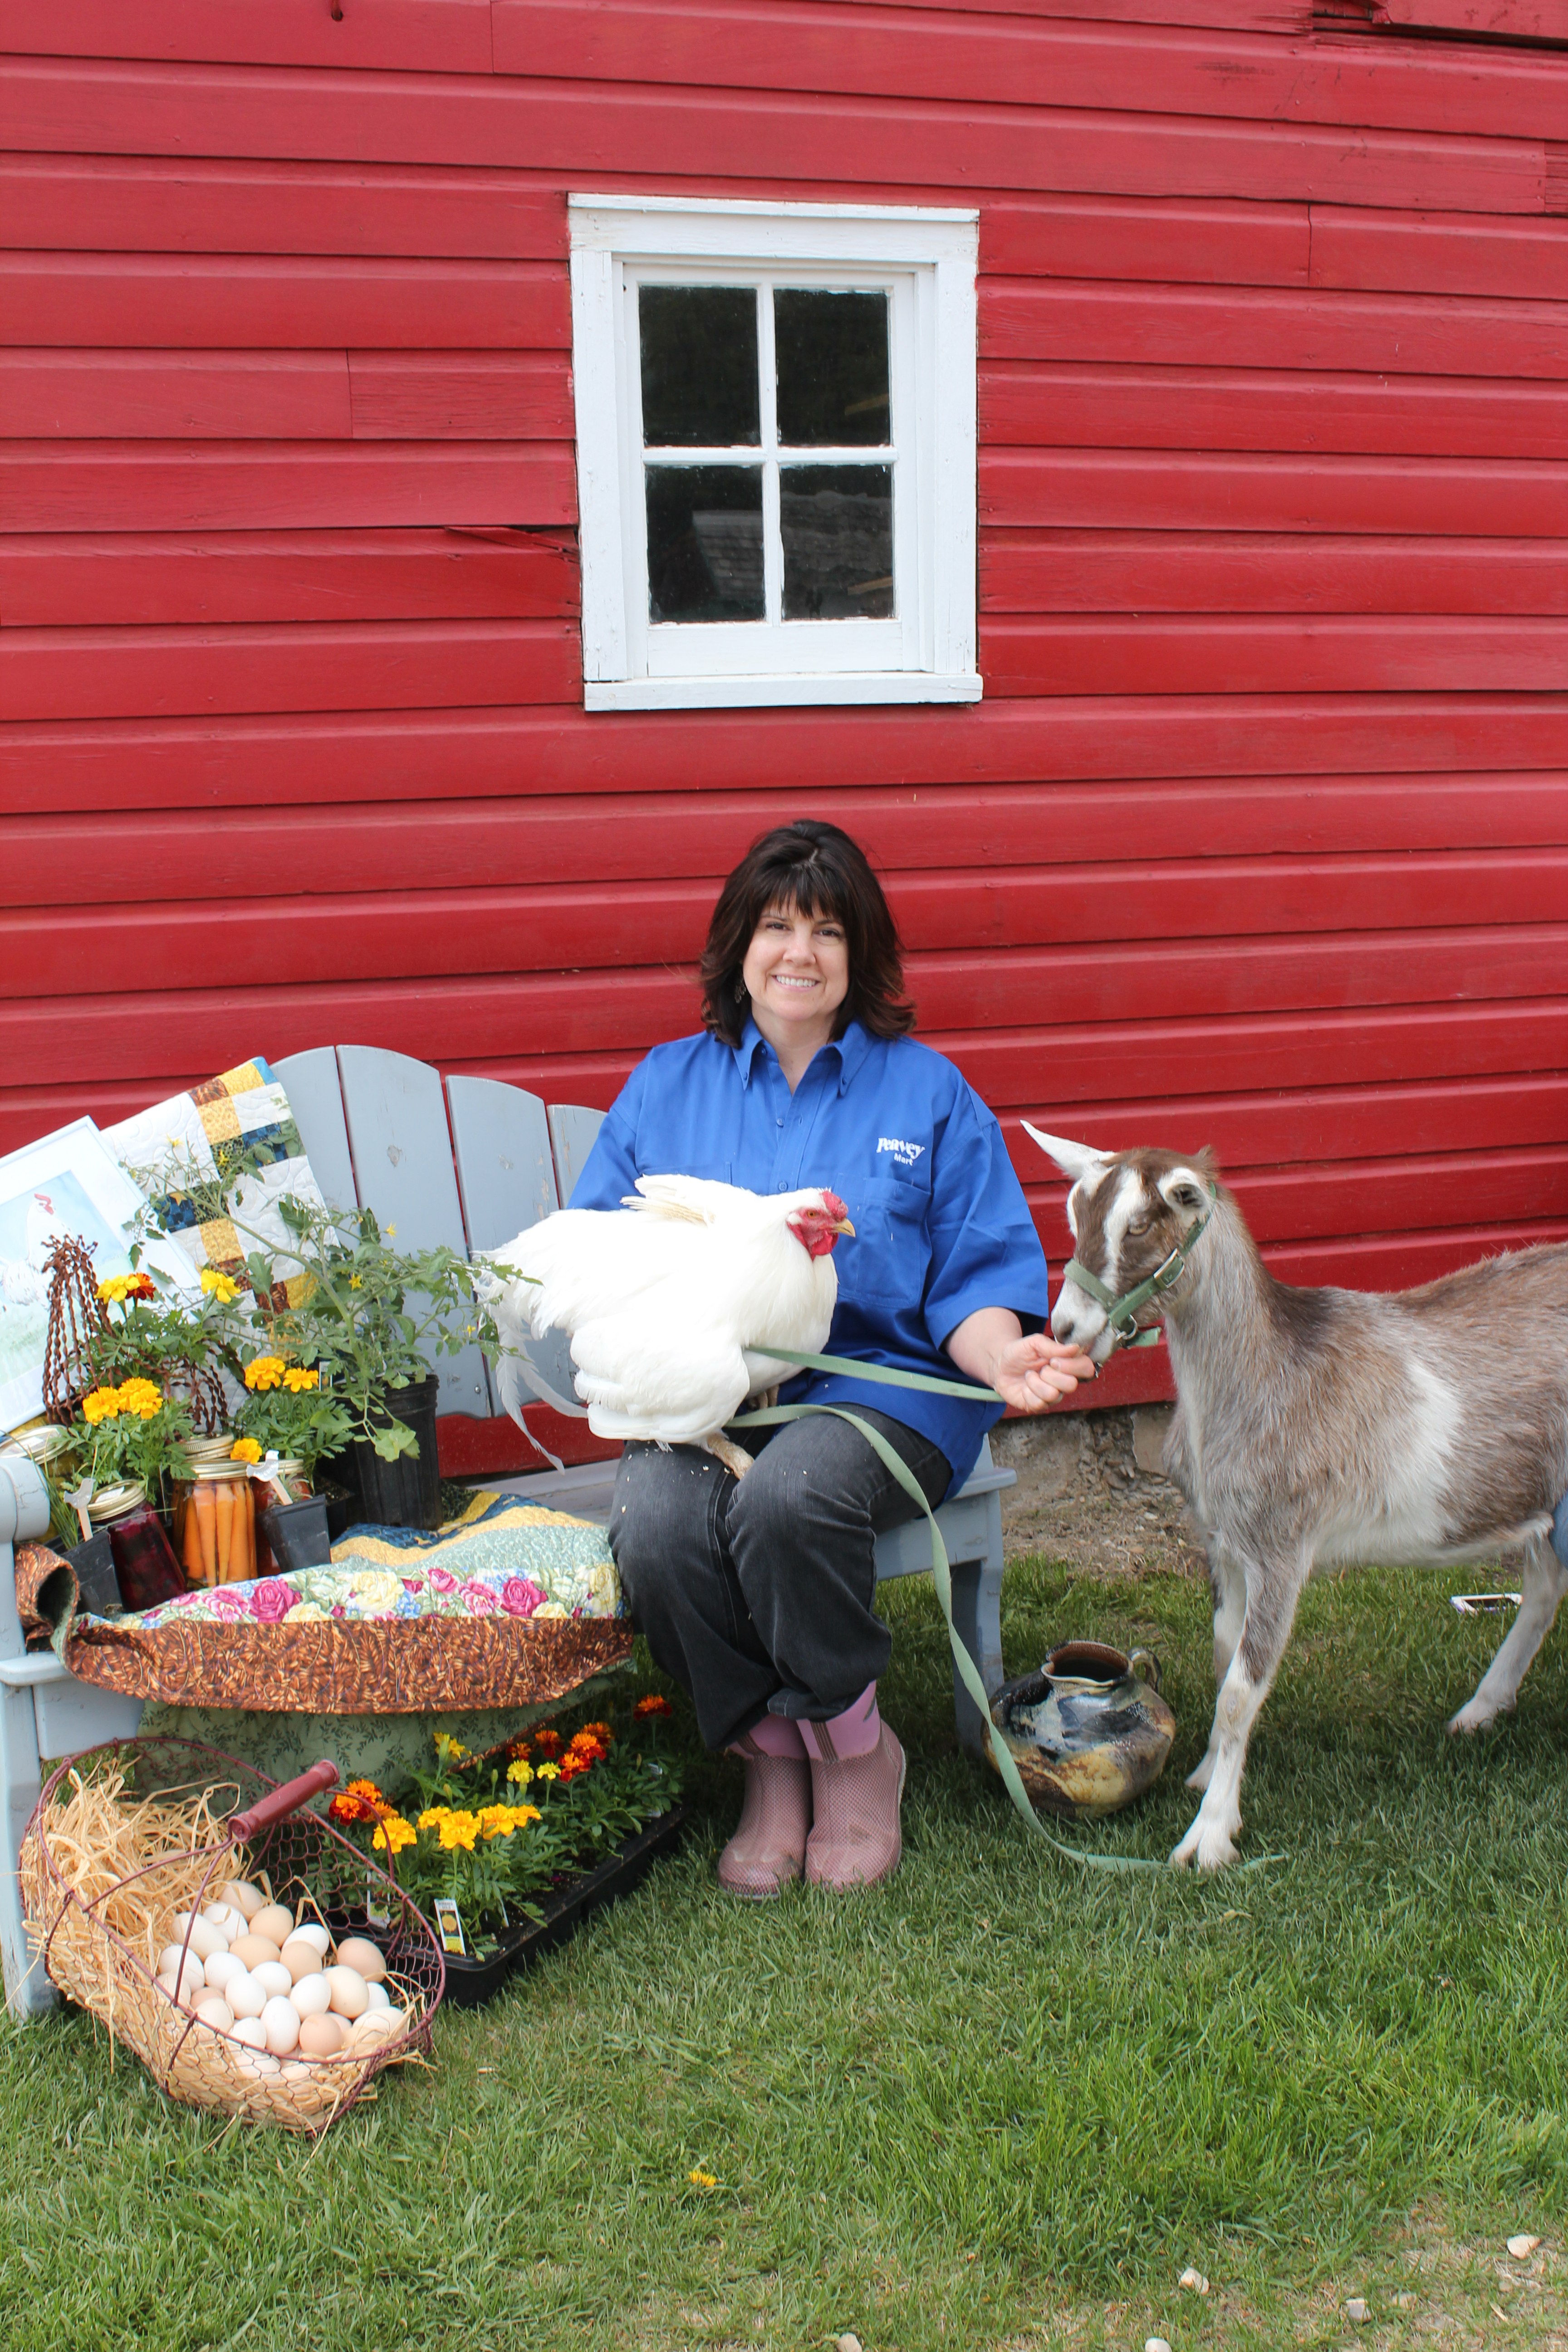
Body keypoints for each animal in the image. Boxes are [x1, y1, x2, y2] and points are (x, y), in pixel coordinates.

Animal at [1025, 1133, 1568, 1872]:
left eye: (1139, 1225)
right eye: (1075, 1211)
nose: (1066, 1328)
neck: (1263, 1371)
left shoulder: (1282, 1548)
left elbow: (1240, 1691)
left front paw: (1210, 1836)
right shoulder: (1222, 1543)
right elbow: (1224, 1656)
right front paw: (1206, 1775)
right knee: (1543, 1589)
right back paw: (1481, 1710)